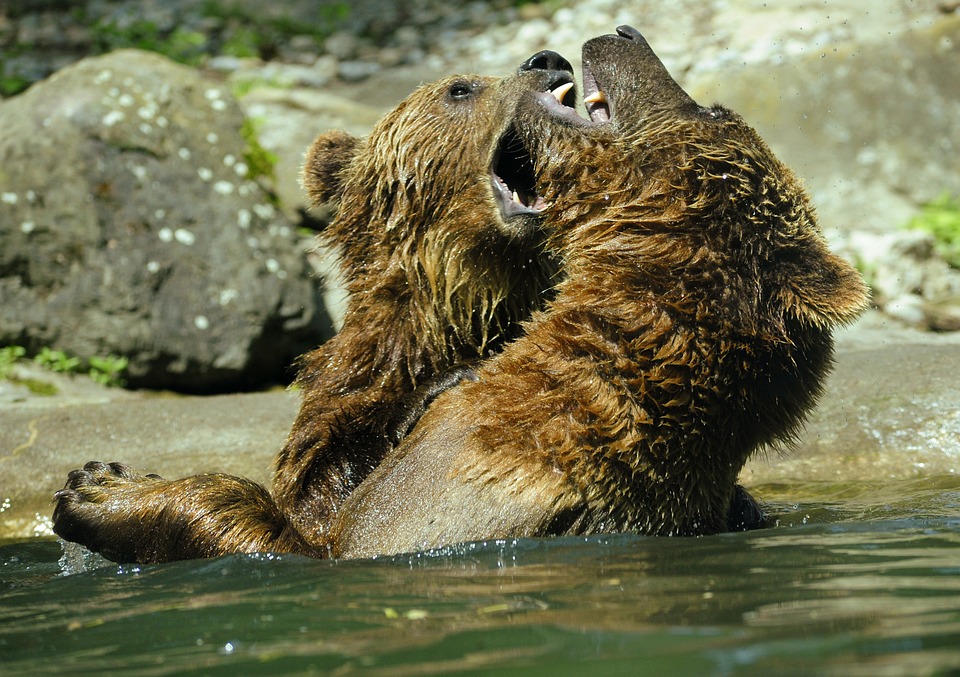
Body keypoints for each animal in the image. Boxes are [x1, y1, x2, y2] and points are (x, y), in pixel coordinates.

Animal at [52, 51, 580, 560]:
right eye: (460, 88)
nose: (549, 60)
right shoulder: (352, 385)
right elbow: (312, 491)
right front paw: (98, 483)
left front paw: (102, 489)